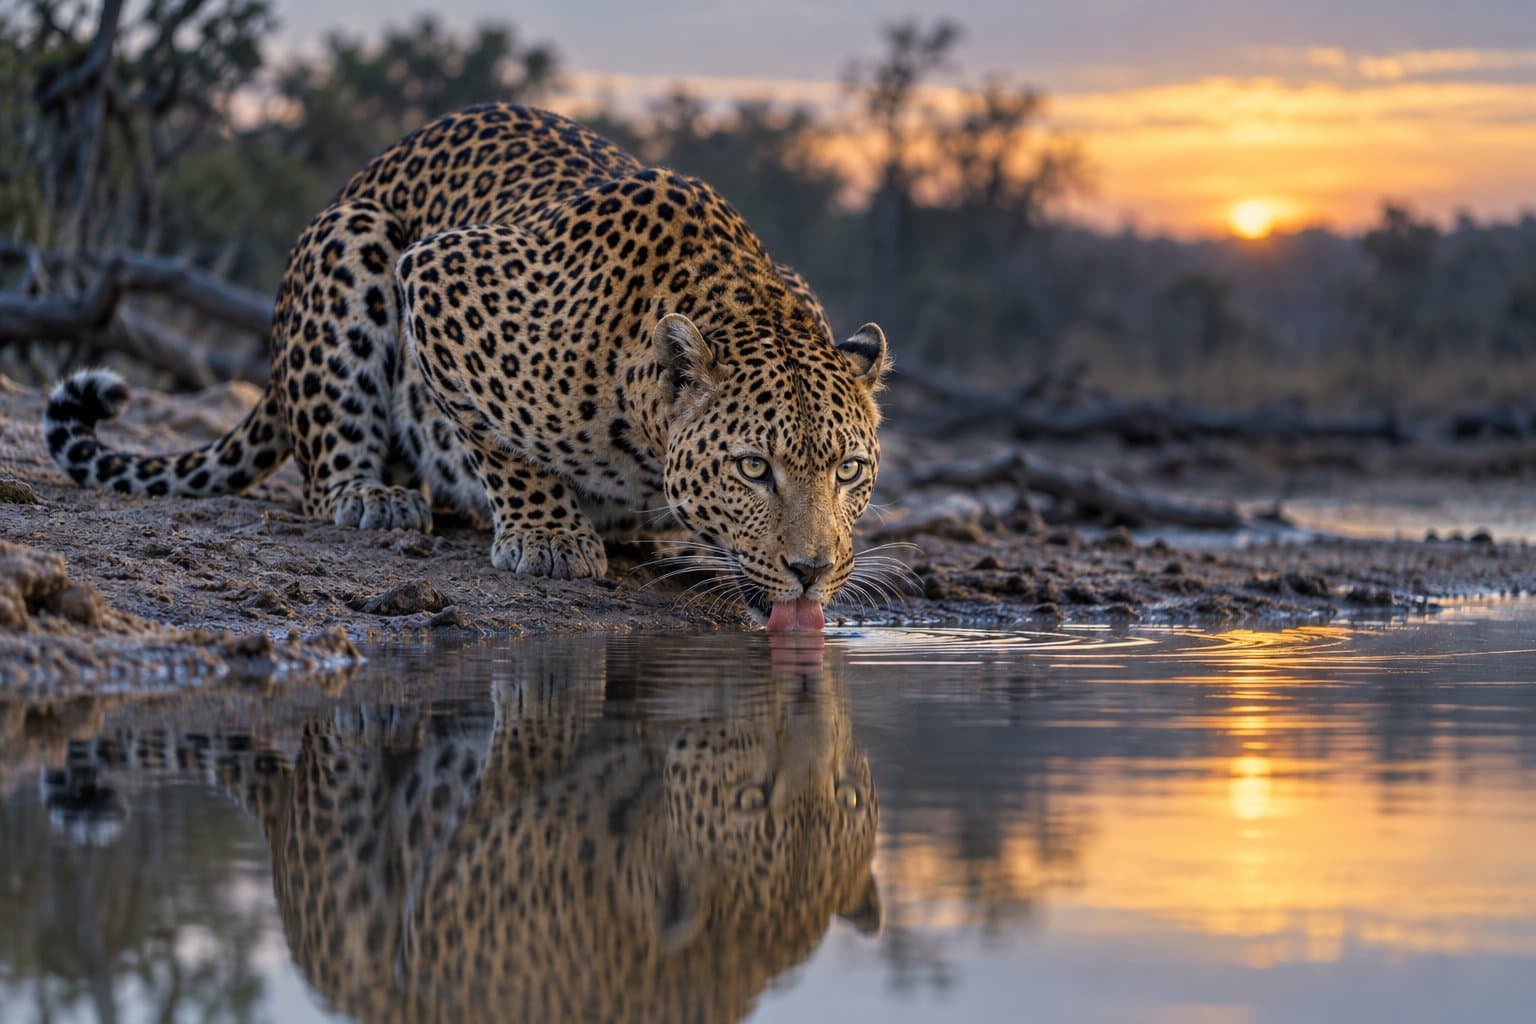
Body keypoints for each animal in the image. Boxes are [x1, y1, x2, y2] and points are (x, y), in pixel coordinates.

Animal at [43, 103, 891, 628]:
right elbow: (505, 443)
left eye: (849, 471)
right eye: (753, 468)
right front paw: (549, 537)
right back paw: (373, 497)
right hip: (352, 241)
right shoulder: (440, 274)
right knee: (324, 470)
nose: (812, 570)